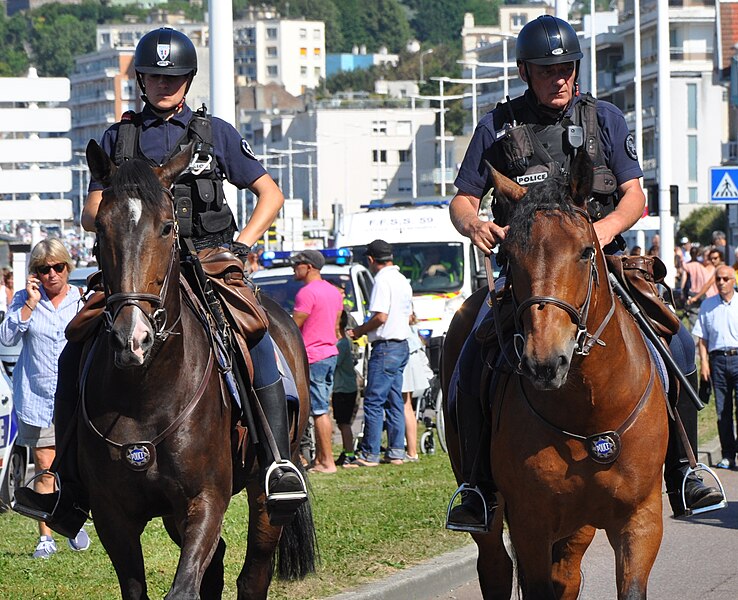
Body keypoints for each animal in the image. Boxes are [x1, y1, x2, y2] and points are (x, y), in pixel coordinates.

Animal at [81, 138, 316, 596]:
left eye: (166, 227)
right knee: (219, 564)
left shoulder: (205, 499)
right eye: (100, 229)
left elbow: (184, 587)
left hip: (264, 495)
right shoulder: (112, 517)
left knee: (253, 574)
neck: (144, 392)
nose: (132, 338)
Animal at [440, 151, 668, 600]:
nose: (545, 362)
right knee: (495, 565)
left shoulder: (641, 520)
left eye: (584, 252)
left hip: (577, 527)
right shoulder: (531, 522)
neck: (591, 411)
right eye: (509, 256)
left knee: (566, 574)